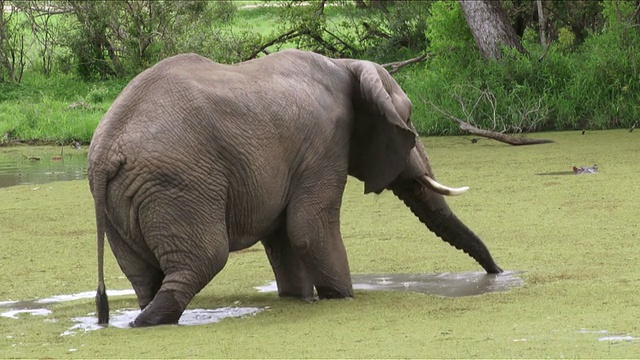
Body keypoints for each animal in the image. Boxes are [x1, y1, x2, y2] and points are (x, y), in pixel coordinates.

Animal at [87, 49, 502, 328]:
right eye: (410, 120)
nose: (498, 273)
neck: (346, 65)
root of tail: (106, 149)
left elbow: (283, 240)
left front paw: (299, 300)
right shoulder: (326, 142)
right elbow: (308, 230)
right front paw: (343, 299)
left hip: (122, 201)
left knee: (144, 276)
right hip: (179, 185)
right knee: (204, 260)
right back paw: (146, 322)